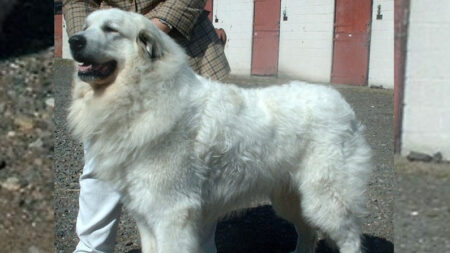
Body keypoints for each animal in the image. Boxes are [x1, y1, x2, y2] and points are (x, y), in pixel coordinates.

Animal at [67, 8, 372, 253]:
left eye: (111, 29)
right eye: (86, 26)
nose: (73, 40)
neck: (142, 94)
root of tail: (342, 103)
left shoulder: (171, 213)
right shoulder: (146, 212)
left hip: (327, 197)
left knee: (348, 238)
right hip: (291, 198)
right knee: (307, 233)